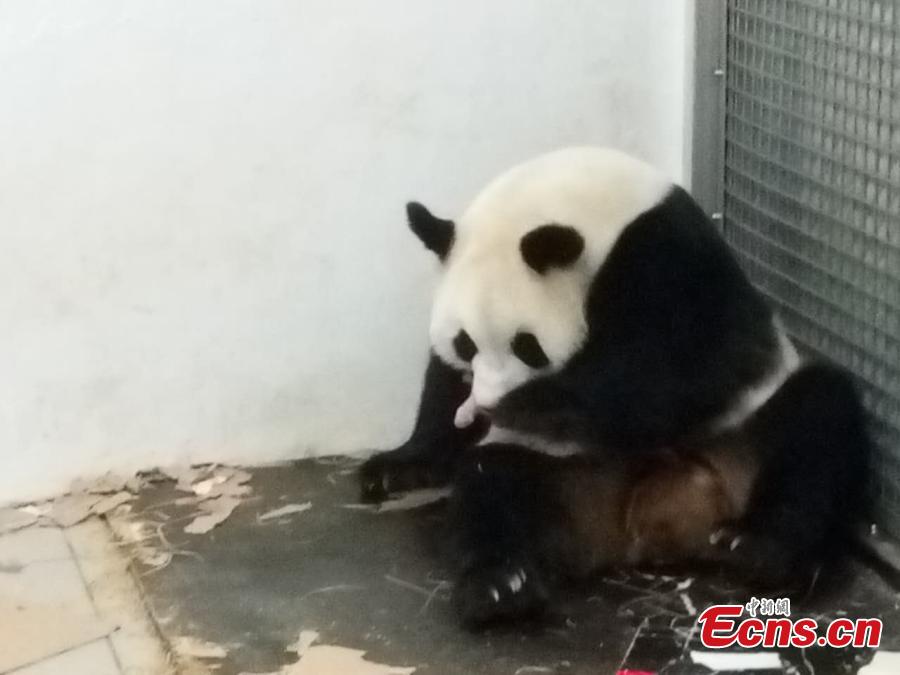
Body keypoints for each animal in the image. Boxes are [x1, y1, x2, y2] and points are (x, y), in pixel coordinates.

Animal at [359, 147, 871, 627]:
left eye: (527, 346)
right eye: (465, 343)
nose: (484, 400)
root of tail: (652, 522)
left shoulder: (666, 253)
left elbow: (690, 364)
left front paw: (520, 403)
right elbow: (442, 386)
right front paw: (400, 464)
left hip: (745, 424)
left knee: (817, 419)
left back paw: (756, 546)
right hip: (566, 474)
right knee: (492, 484)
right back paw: (500, 588)